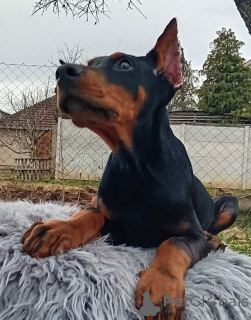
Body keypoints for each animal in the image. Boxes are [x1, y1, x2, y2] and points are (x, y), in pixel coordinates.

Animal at [22, 18, 238, 320]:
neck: (136, 168)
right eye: (91, 62)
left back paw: (215, 239)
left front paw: (161, 285)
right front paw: (56, 229)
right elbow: (90, 214)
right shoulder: (112, 222)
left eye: (124, 65)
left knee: (211, 229)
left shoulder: (191, 234)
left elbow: (174, 243)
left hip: (230, 203)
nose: (61, 72)